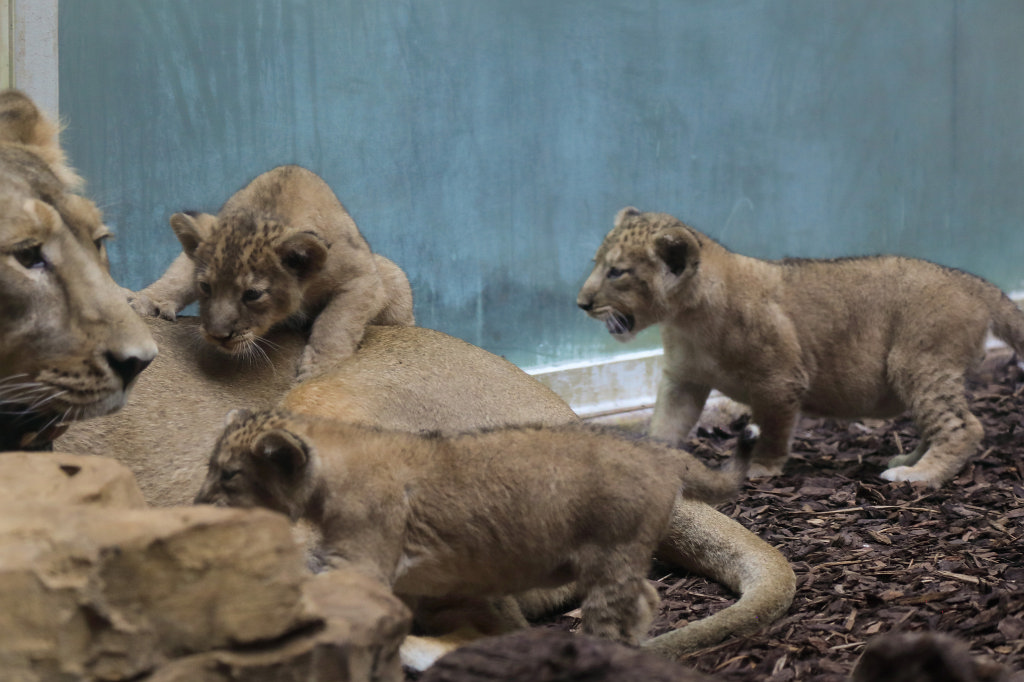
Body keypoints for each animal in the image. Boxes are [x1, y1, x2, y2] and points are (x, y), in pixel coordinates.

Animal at [129, 165, 414, 380]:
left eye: (252, 294)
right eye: (206, 287)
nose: (218, 336)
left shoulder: (362, 277)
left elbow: (337, 323)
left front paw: (318, 370)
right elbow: (177, 276)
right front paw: (146, 301)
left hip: (394, 280)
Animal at [195, 408, 756, 646]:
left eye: (229, 475)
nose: (198, 502)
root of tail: (660, 452)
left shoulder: (360, 560)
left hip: (611, 555)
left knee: (612, 612)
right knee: (647, 599)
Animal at [577, 206, 1024, 487]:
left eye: (617, 272)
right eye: (595, 263)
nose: (581, 303)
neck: (686, 319)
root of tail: (974, 282)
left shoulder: (779, 380)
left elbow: (774, 429)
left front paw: (761, 467)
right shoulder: (684, 380)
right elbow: (666, 424)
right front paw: (653, 458)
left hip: (919, 362)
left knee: (964, 426)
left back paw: (917, 476)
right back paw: (907, 461)